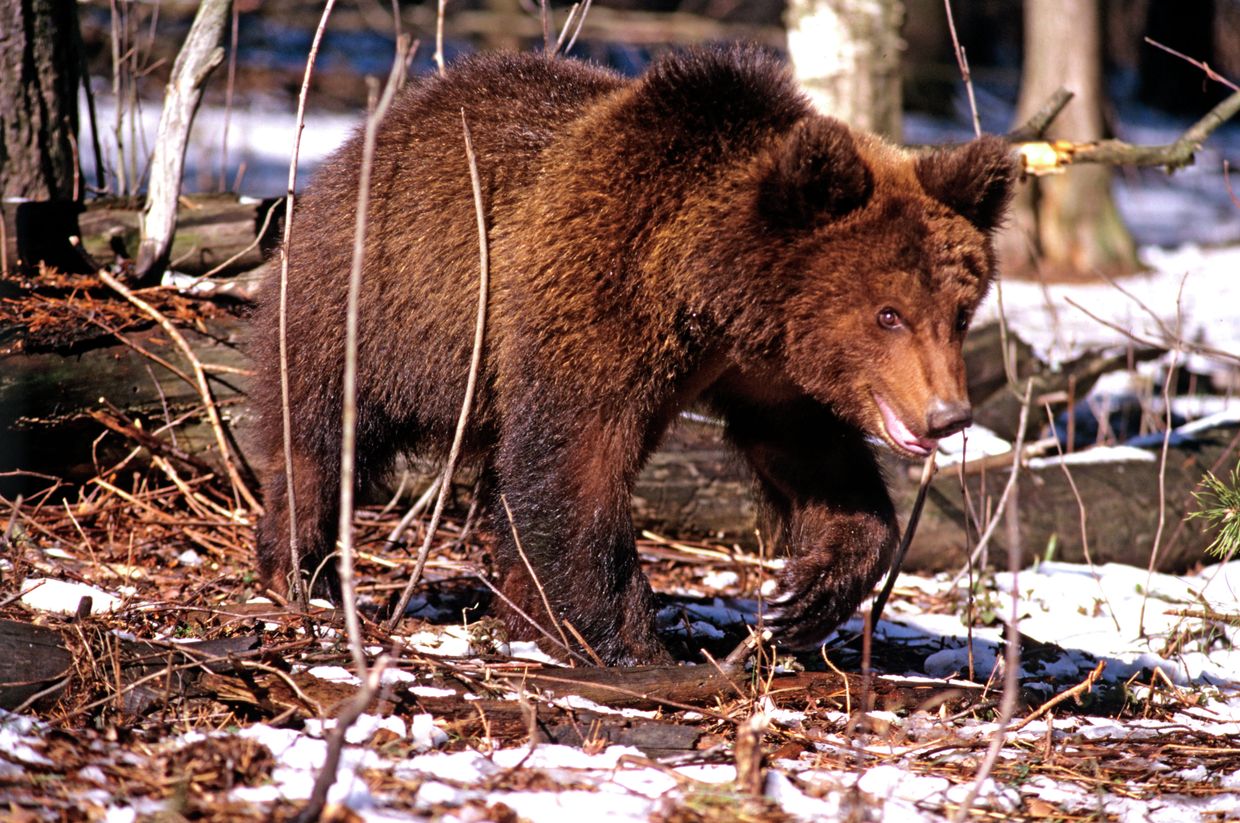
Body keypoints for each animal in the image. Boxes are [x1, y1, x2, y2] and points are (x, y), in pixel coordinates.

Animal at [251, 47, 1017, 665]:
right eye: (888, 314)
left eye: (960, 310)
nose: (947, 414)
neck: (707, 293)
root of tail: (364, 137)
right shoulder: (597, 301)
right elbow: (576, 463)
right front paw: (629, 642)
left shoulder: (765, 368)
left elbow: (812, 454)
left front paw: (807, 593)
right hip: (372, 305)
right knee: (319, 435)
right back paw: (303, 572)